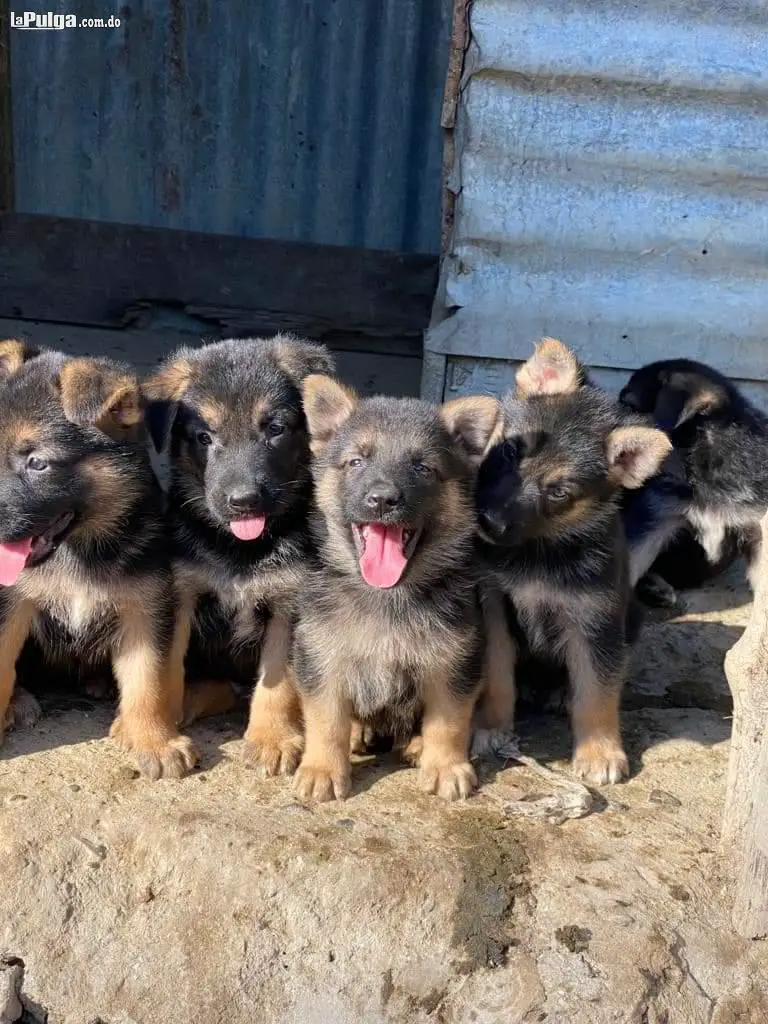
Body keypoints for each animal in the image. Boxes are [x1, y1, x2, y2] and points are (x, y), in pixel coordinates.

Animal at [0, 335, 195, 774]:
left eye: (38, 463)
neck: (77, 550)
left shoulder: (145, 608)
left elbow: (148, 680)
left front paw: (154, 740)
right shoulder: (10, 603)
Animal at [143, 335, 333, 774]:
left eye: (275, 429)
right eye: (203, 437)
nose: (244, 502)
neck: (241, 551)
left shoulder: (288, 605)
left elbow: (278, 682)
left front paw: (272, 739)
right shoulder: (182, 595)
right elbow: (166, 667)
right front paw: (162, 728)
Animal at [290, 376, 501, 798]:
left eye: (422, 467)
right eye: (356, 461)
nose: (382, 499)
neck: (386, 597)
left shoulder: (454, 662)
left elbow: (449, 721)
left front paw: (446, 765)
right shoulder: (321, 659)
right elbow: (326, 720)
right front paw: (322, 768)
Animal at [475, 339, 671, 778]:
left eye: (559, 492)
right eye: (510, 450)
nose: (489, 522)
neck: (538, 552)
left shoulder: (595, 622)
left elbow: (596, 692)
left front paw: (599, 751)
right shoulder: (494, 609)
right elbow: (497, 676)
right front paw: (493, 728)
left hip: (629, 620)